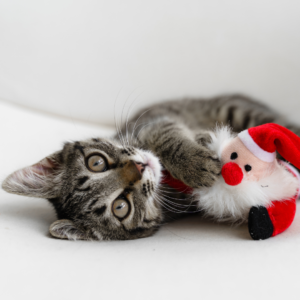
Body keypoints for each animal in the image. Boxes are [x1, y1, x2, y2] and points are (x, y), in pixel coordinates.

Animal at [2, 95, 300, 240]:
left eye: (96, 162)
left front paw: (197, 154)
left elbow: (169, 137)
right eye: (120, 207)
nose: (139, 165)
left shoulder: (153, 124)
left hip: (237, 109)